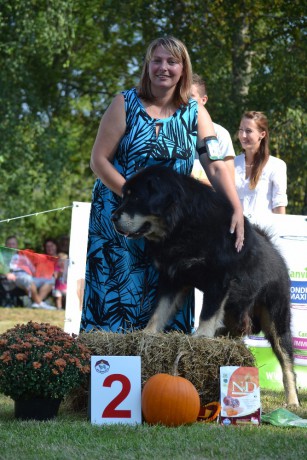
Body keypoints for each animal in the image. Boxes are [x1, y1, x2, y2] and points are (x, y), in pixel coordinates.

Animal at [112, 165, 300, 406]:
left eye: (136, 197)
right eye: (125, 196)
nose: (113, 217)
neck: (183, 225)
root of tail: (277, 255)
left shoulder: (218, 280)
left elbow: (207, 313)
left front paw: (201, 337)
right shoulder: (172, 278)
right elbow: (159, 311)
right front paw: (147, 334)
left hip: (276, 320)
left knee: (287, 364)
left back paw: (293, 401)